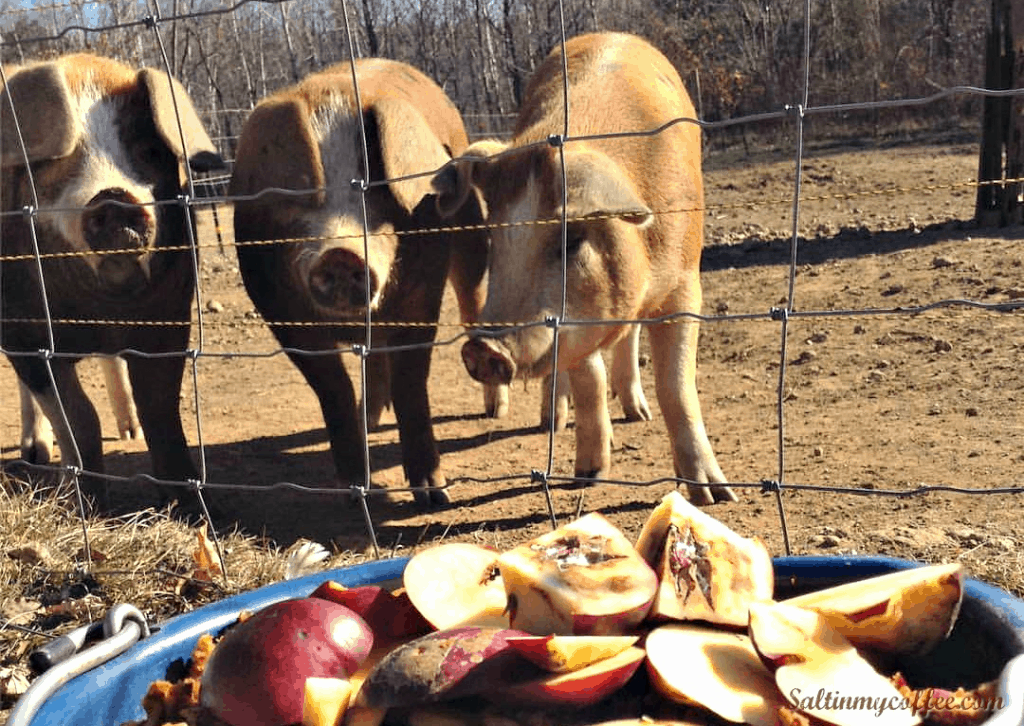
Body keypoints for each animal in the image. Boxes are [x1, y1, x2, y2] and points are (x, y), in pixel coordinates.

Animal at [0, 53, 224, 507]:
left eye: (149, 151)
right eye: (53, 164)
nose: (114, 197)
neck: (100, 314)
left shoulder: (168, 318)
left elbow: (160, 407)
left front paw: (190, 508)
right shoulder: (22, 332)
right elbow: (77, 417)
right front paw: (84, 506)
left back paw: (128, 432)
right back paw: (34, 455)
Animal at [232, 59, 487, 507]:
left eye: (378, 194)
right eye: (301, 195)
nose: (341, 252)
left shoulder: (422, 295)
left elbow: (411, 381)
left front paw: (432, 496)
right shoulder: (277, 312)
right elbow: (331, 388)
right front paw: (351, 492)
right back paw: (367, 420)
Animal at [432, 29, 737, 503]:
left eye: (571, 239)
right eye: (496, 239)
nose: (483, 347)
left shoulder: (686, 283)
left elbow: (676, 386)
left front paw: (714, 496)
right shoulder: (573, 324)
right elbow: (589, 378)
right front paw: (587, 476)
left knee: (631, 340)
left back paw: (637, 414)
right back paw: (553, 422)